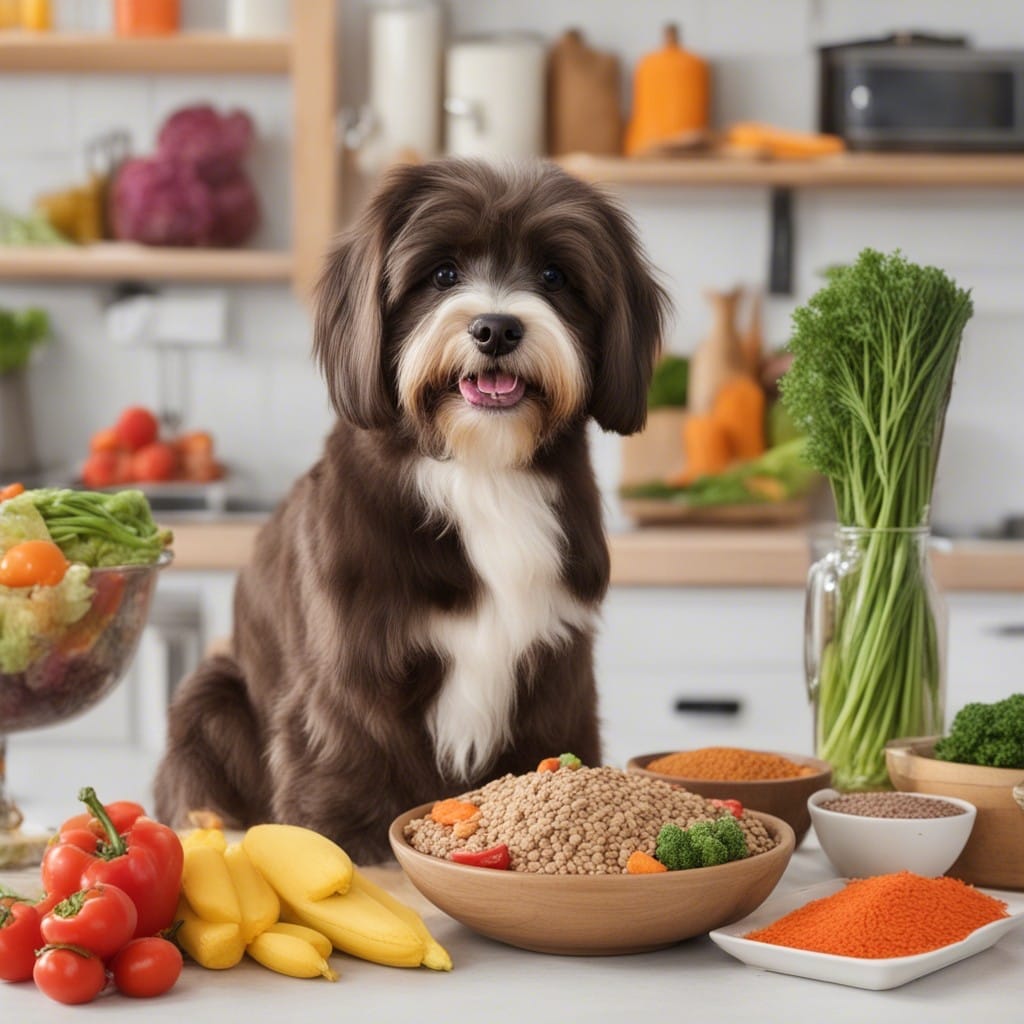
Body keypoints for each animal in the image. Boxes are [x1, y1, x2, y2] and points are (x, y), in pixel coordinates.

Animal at [149, 157, 663, 864]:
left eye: (555, 275)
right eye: (442, 273)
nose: (496, 328)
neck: (480, 468)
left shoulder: (557, 653)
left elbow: (552, 728)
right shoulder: (353, 651)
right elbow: (348, 735)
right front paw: (347, 834)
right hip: (212, 694)